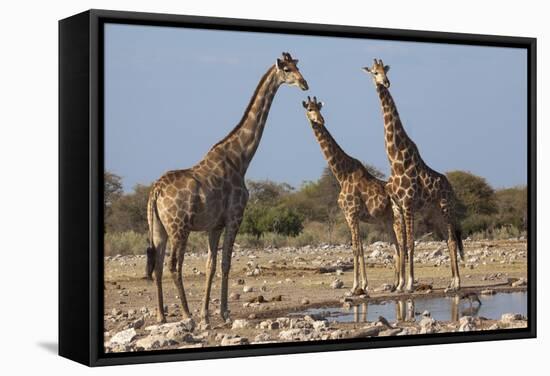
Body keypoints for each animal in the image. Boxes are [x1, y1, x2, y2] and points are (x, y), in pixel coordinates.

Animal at [147, 51, 310, 324]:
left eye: (298, 66)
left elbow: (210, 266)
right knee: (173, 265)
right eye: (287, 69)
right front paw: (222, 313)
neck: (240, 158)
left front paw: (206, 314)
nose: (304, 83)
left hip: (159, 228)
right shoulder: (235, 217)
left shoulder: (215, 225)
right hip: (179, 227)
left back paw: (161, 315)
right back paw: (186, 315)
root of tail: (155, 191)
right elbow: (226, 264)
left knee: (158, 266)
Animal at [304, 95, 398, 296]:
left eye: (319, 108)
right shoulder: (352, 216)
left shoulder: (351, 214)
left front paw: (357, 287)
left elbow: (356, 248)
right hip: (387, 220)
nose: (320, 120)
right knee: (397, 245)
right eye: (309, 109)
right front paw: (361, 285)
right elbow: (359, 247)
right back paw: (396, 284)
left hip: (397, 218)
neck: (342, 174)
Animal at [362, 59, 466, 294]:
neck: (395, 159)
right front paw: (401, 284)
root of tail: (451, 187)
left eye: (384, 71)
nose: (386, 82)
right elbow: (402, 244)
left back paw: (456, 283)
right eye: (374, 72)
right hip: (434, 213)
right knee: (447, 240)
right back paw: (451, 282)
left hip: (446, 208)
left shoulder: (408, 204)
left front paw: (409, 284)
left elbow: (410, 243)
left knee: (452, 240)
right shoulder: (398, 207)